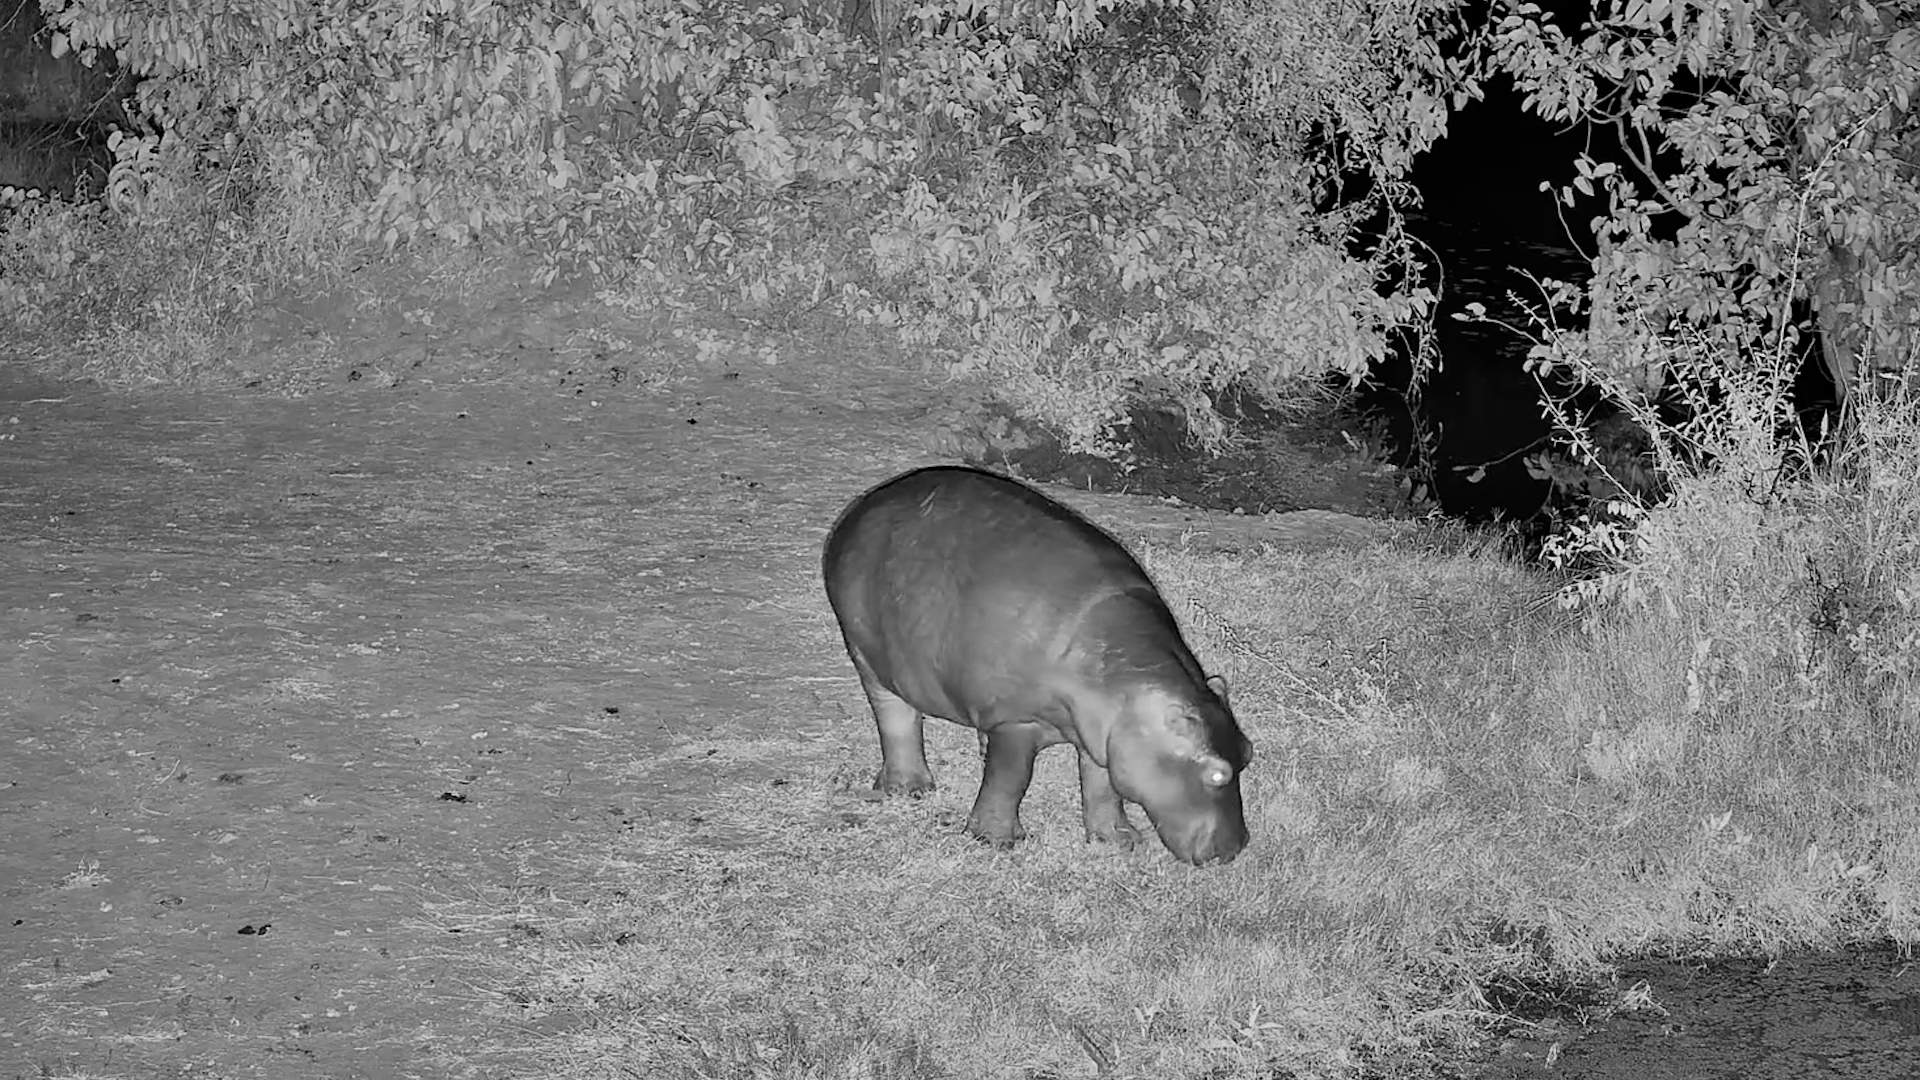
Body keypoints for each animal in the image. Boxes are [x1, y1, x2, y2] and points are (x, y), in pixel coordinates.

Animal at [821, 465, 1252, 866]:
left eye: (1247, 752)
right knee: (896, 717)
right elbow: (1010, 779)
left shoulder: (1102, 735)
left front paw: (1118, 841)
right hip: (866, 652)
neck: (1132, 694)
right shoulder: (1017, 721)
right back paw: (910, 788)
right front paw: (997, 841)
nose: (1236, 849)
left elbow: (1102, 786)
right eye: (1218, 774)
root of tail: (864, 505)